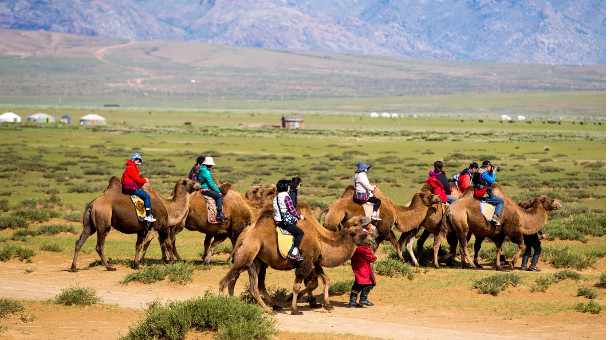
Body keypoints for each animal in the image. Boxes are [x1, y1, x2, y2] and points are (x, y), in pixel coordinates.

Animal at [70, 178, 200, 270]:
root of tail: (92, 204)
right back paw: (109, 267)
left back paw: (73, 267)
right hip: (103, 222)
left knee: (79, 241)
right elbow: (168, 243)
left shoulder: (142, 229)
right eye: (191, 181)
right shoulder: (162, 226)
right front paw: (173, 262)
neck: (169, 207)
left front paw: (136, 265)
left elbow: (138, 245)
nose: (199, 184)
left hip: (90, 225)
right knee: (99, 246)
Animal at [218, 203, 370, 314]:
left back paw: (269, 307)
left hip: (256, 260)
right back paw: (226, 304)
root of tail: (244, 236)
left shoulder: (313, 262)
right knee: (227, 281)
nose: (371, 241)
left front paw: (327, 305)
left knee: (251, 284)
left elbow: (325, 279)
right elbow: (297, 286)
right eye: (363, 234)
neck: (320, 239)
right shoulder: (306, 263)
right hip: (248, 254)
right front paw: (294, 308)